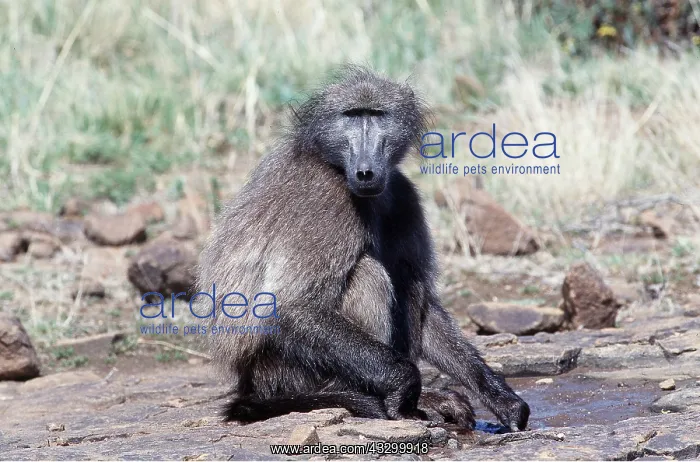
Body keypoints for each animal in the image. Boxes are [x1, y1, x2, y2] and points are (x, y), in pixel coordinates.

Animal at [194, 65, 530, 432]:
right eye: (352, 116)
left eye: (376, 115)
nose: (366, 171)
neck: (334, 164)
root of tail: (252, 384)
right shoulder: (326, 200)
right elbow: (290, 306)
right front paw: (404, 386)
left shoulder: (403, 193)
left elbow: (426, 304)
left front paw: (502, 399)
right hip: (289, 373)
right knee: (368, 274)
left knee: (407, 282)